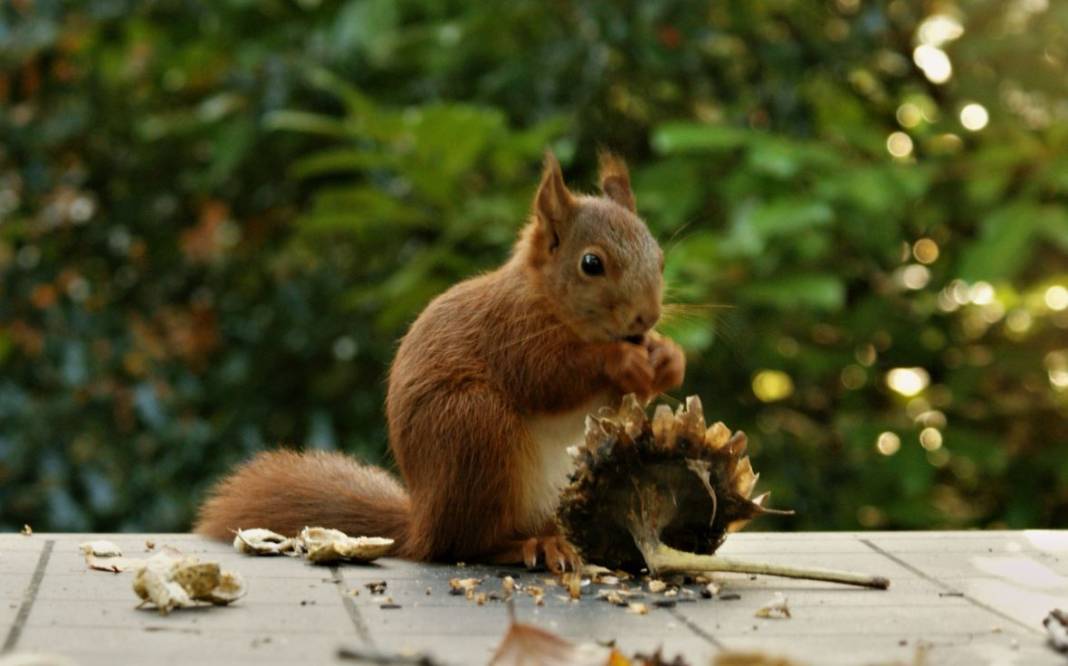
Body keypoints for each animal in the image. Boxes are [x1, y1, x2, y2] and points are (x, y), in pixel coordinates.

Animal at [196, 152, 687, 572]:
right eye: (591, 263)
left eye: (662, 259)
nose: (647, 317)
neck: (546, 299)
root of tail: (421, 523)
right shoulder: (509, 334)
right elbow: (548, 379)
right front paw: (620, 360)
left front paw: (668, 359)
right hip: (474, 429)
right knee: (462, 545)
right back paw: (528, 546)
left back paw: (559, 542)